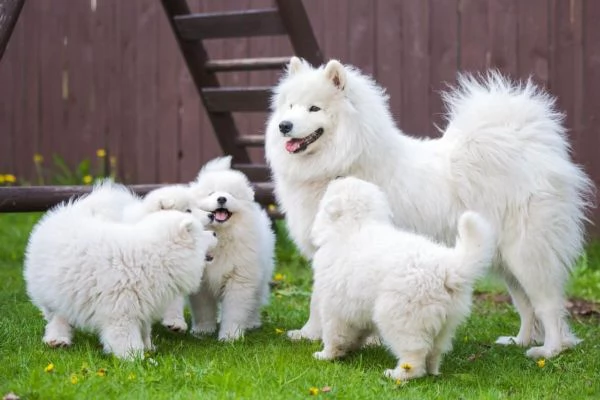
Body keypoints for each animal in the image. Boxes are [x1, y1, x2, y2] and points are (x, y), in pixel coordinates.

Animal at [26, 200, 218, 360]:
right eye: (202, 233)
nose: (215, 233)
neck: (154, 258)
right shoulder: (121, 311)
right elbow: (126, 338)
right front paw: (136, 359)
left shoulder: (143, 305)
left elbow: (144, 330)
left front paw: (148, 348)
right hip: (52, 292)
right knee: (56, 318)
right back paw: (58, 339)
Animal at [185, 155, 276, 340]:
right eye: (211, 193)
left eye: (231, 195)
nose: (222, 198)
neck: (220, 236)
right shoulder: (201, 284)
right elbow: (203, 310)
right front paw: (203, 331)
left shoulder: (240, 279)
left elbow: (234, 311)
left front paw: (230, 336)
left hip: (260, 278)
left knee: (254, 303)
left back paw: (251, 323)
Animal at [264, 57, 592, 360]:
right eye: (290, 106)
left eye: (314, 109)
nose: (284, 126)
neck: (343, 161)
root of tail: (531, 146)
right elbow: (317, 300)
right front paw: (308, 334)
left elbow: (323, 300)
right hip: (507, 261)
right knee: (526, 305)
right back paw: (520, 341)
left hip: (527, 255)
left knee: (548, 305)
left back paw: (549, 350)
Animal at [312, 178, 494, 382]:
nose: (336, 177)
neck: (356, 226)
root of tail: (447, 268)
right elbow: (356, 333)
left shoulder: (333, 305)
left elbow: (334, 333)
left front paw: (326, 355)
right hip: (445, 323)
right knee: (434, 351)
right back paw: (432, 370)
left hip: (400, 317)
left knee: (414, 354)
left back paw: (398, 374)